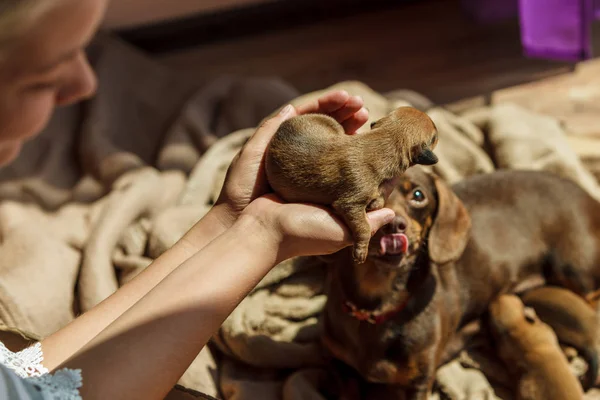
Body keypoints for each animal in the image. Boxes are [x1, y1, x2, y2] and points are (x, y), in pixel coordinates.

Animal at [264, 106, 438, 264]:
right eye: (435, 137)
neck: (384, 140)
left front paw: (375, 202)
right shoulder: (351, 203)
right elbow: (364, 228)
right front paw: (361, 250)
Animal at [324, 167, 600, 398]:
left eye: (418, 195)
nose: (393, 225)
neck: (377, 305)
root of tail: (591, 199)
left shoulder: (419, 383)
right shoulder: (339, 366)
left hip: (575, 272)